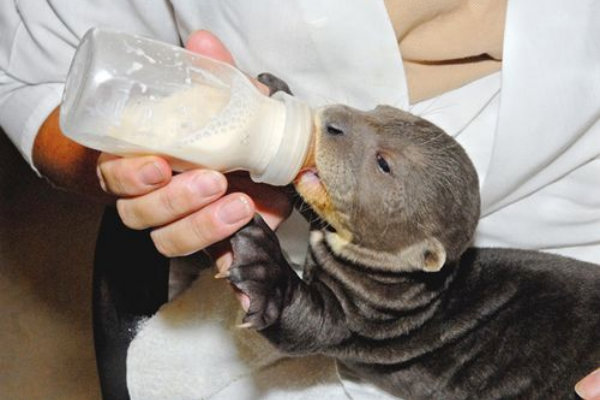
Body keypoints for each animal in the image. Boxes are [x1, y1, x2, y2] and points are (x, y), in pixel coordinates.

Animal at [225, 76, 600, 398]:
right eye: (377, 110)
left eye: (383, 163)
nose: (331, 120)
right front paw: (278, 94)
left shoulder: (358, 318)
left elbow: (306, 324)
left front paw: (262, 265)